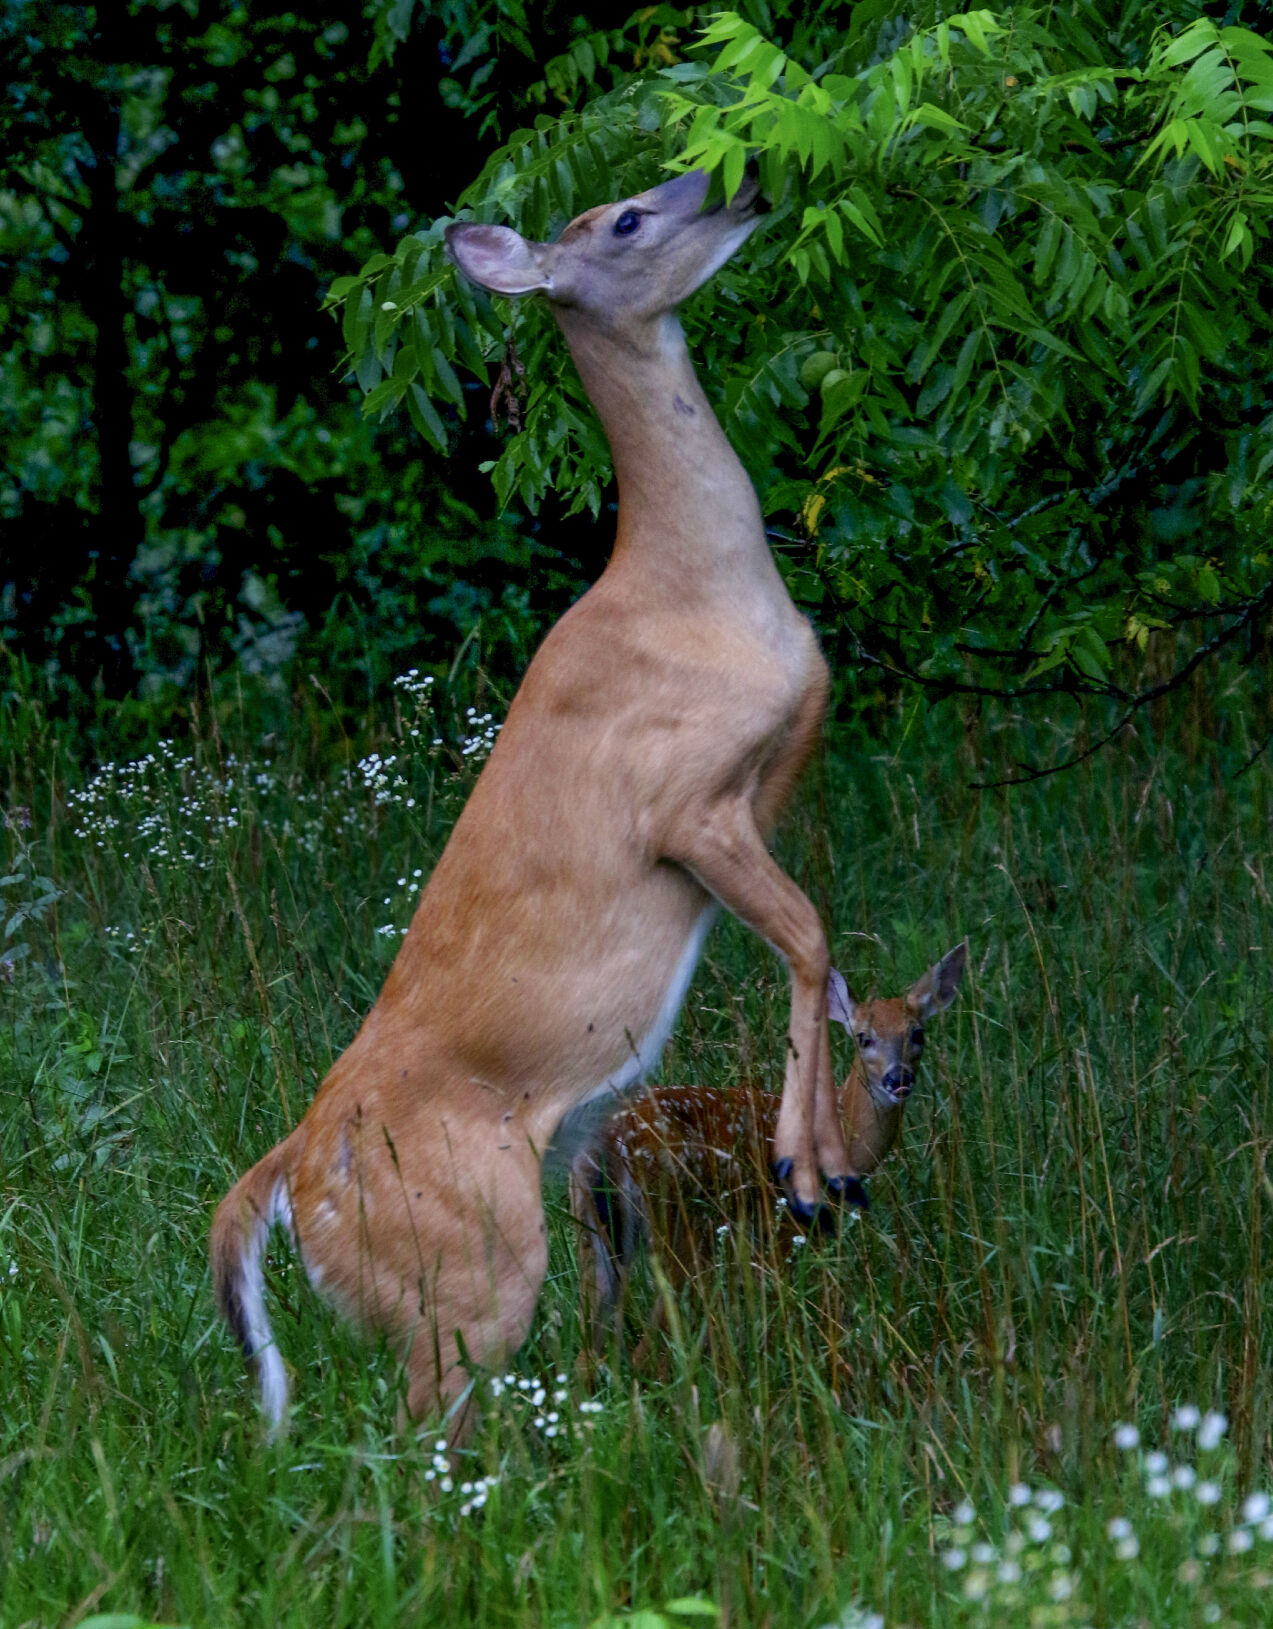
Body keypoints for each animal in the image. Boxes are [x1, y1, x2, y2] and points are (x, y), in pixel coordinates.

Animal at [210, 165, 857, 1436]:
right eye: (627, 217)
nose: (741, 179)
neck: (692, 587)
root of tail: (294, 1172)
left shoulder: (766, 784)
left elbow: (819, 948)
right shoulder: (685, 804)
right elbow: (808, 937)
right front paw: (805, 1172)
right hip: (467, 1267)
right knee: (410, 1442)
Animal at [571, 945, 967, 1341]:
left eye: (918, 1033)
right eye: (863, 1037)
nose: (898, 1078)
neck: (837, 1131)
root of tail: (607, 1141)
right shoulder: (787, 1227)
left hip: (593, 1234)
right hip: (678, 1222)